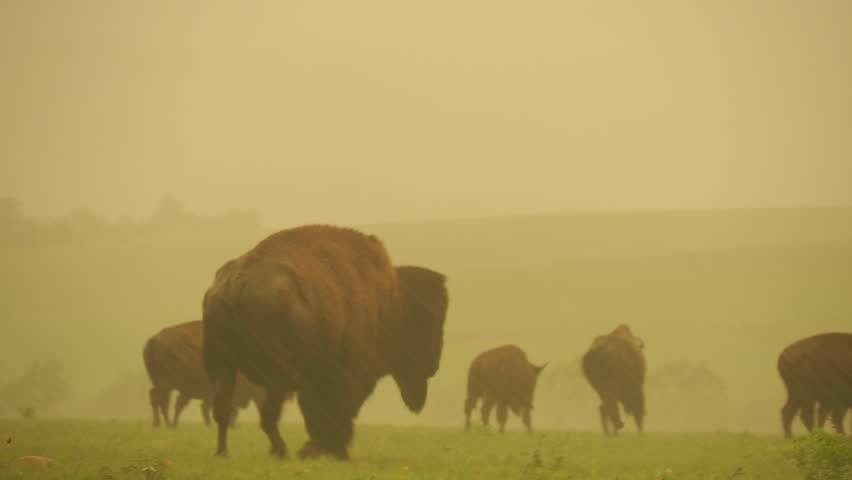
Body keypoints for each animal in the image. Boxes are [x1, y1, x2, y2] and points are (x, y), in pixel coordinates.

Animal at [202, 225, 450, 460]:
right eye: (429, 324)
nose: (434, 365)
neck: (393, 303)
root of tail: (237, 282)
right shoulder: (345, 374)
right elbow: (335, 410)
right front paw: (330, 450)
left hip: (224, 365)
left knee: (224, 408)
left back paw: (224, 452)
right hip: (278, 372)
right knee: (267, 412)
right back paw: (282, 450)